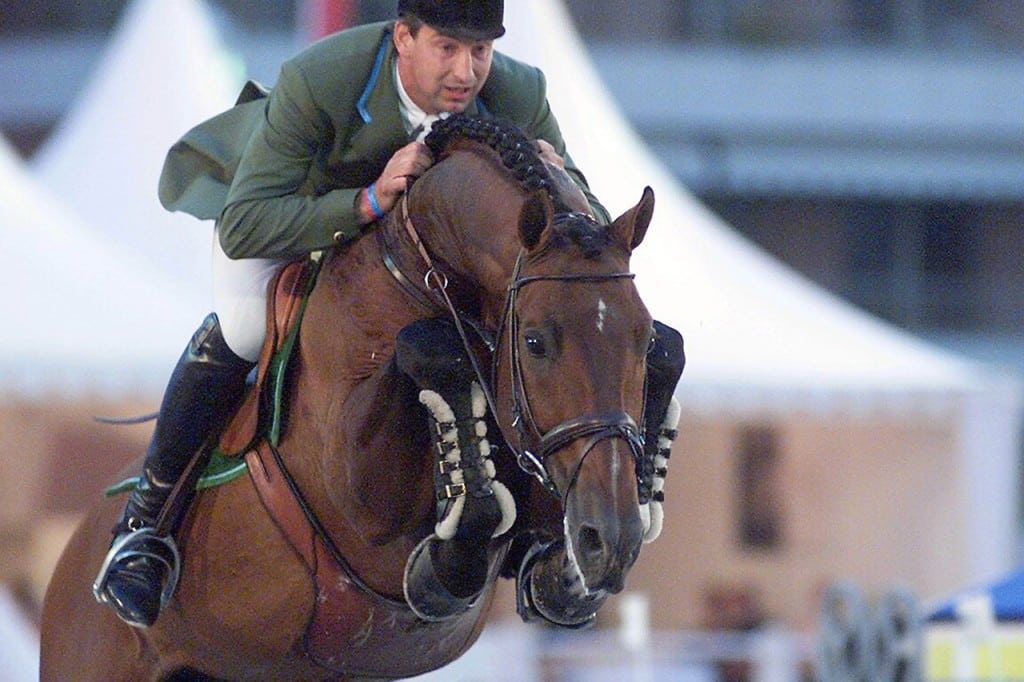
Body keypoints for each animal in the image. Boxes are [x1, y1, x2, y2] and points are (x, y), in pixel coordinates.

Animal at [39, 114, 667, 675]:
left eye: (643, 338)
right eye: (535, 341)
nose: (610, 540)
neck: (420, 265)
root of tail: (73, 552)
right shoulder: (355, 492)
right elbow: (429, 347)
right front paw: (451, 554)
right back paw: (134, 566)